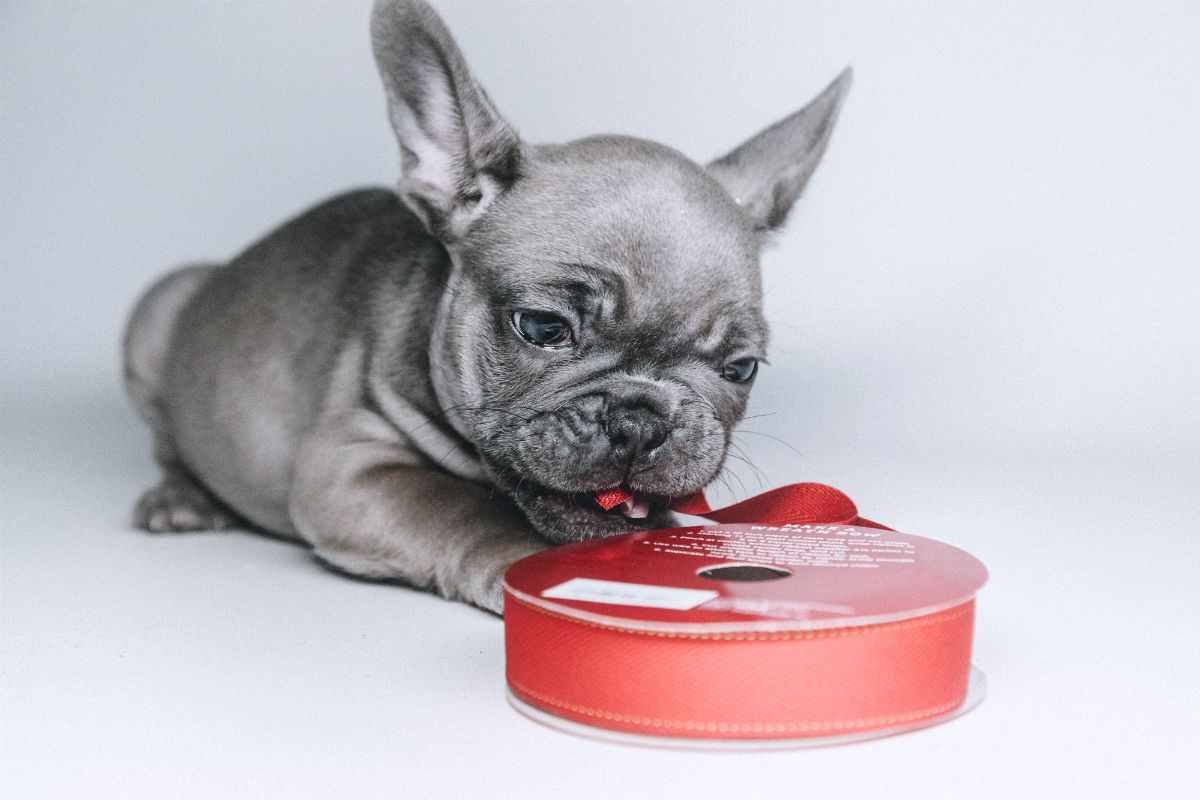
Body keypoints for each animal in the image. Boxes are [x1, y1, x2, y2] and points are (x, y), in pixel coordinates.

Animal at [124, 0, 854, 614]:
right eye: (542, 327)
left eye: (741, 369)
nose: (641, 420)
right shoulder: (350, 467)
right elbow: (462, 509)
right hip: (156, 315)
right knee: (166, 440)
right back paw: (180, 496)